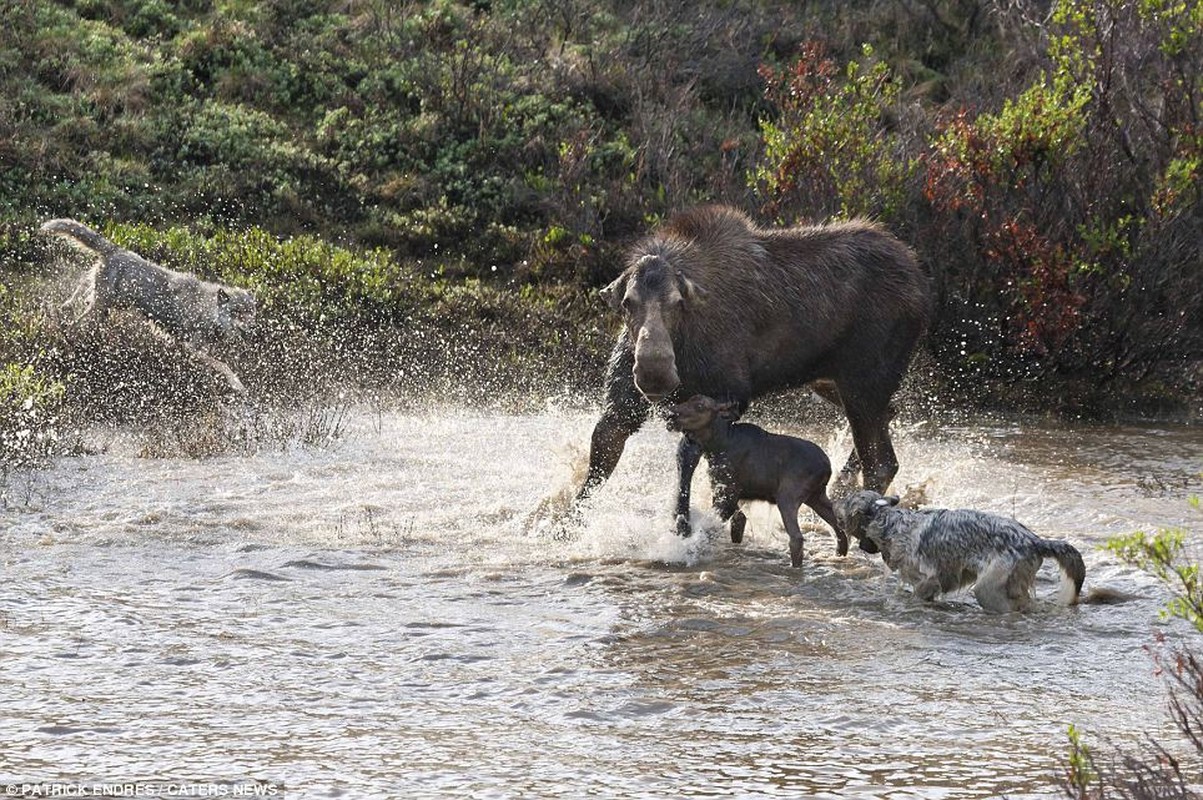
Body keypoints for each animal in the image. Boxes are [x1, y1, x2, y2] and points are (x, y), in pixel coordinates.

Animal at [42, 218, 256, 392]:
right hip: (103, 306)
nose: (252, 329)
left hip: (109, 305)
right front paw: (238, 384)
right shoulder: (192, 347)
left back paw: (60, 311)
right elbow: (224, 365)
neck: (207, 310)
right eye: (237, 312)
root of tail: (116, 248)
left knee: (79, 292)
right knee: (75, 321)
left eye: (250, 313)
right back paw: (66, 335)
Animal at [572, 204, 928, 536]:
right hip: (831, 380)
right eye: (627, 302)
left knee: (881, 461)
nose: (653, 373)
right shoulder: (623, 405)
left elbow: (698, 462)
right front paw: (566, 525)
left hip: (863, 379)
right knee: (889, 419)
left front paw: (695, 524)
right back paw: (840, 489)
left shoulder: (728, 394)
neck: (684, 342)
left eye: (678, 302)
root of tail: (919, 280)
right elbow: (598, 462)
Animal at [668, 394, 846, 567]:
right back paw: (839, 555)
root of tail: (826, 467)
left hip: (788, 496)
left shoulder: (729, 493)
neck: (715, 445)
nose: (671, 414)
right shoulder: (729, 493)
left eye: (700, 406)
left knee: (797, 537)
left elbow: (709, 525)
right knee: (838, 525)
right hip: (816, 496)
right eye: (687, 399)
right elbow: (737, 523)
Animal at [837, 486, 1092, 611]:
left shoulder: (927, 580)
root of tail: (1035, 540)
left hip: (987, 589)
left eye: (846, 500)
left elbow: (917, 596)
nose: (835, 500)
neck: (889, 520)